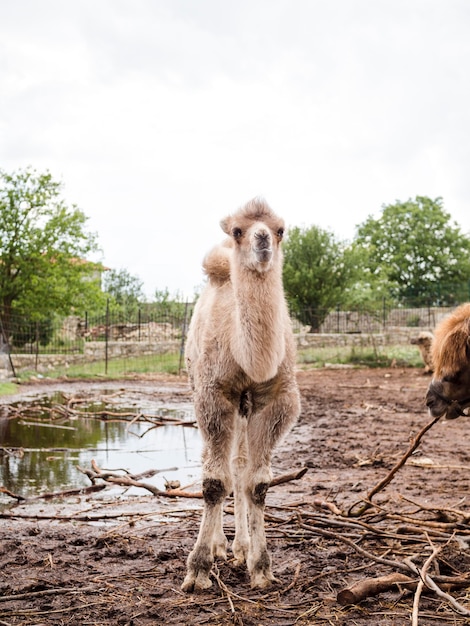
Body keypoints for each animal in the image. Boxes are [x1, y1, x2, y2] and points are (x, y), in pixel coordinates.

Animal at [182, 196, 300, 588]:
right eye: (237, 231)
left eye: (280, 229)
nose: (261, 239)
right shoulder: (214, 394)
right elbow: (214, 482)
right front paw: (198, 570)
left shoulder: (277, 400)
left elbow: (257, 483)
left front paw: (261, 567)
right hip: (201, 388)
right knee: (216, 463)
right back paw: (221, 546)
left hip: (245, 406)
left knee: (239, 465)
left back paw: (240, 547)